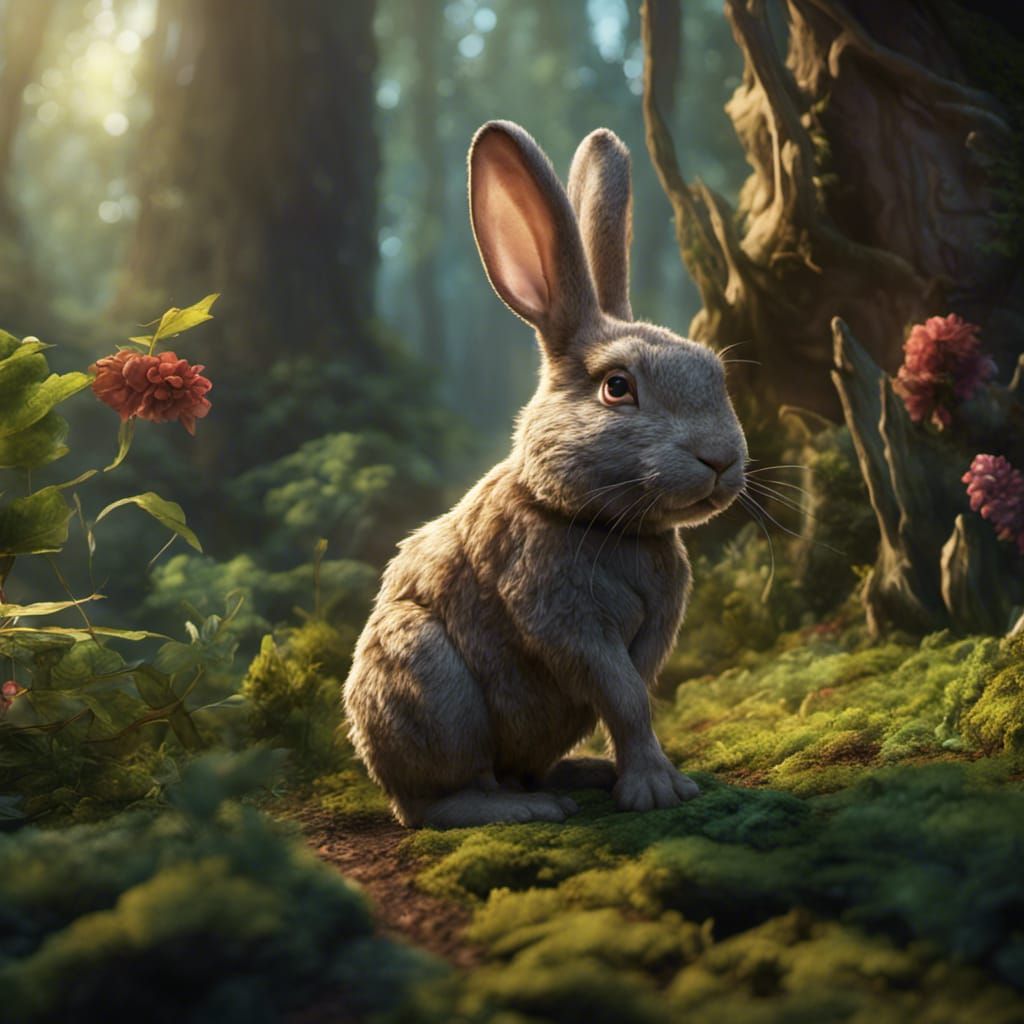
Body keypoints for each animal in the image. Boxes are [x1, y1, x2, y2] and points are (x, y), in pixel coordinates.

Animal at [343, 120, 748, 829]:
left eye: (713, 372)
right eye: (617, 387)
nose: (721, 459)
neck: (598, 520)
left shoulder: (649, 635)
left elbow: (635, 699)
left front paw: (655, 779)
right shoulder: (564, 619)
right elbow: (624, 697)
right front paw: (657, 792)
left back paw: (576, 774)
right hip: (429, 680)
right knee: (439, 799)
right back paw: (523, 807)